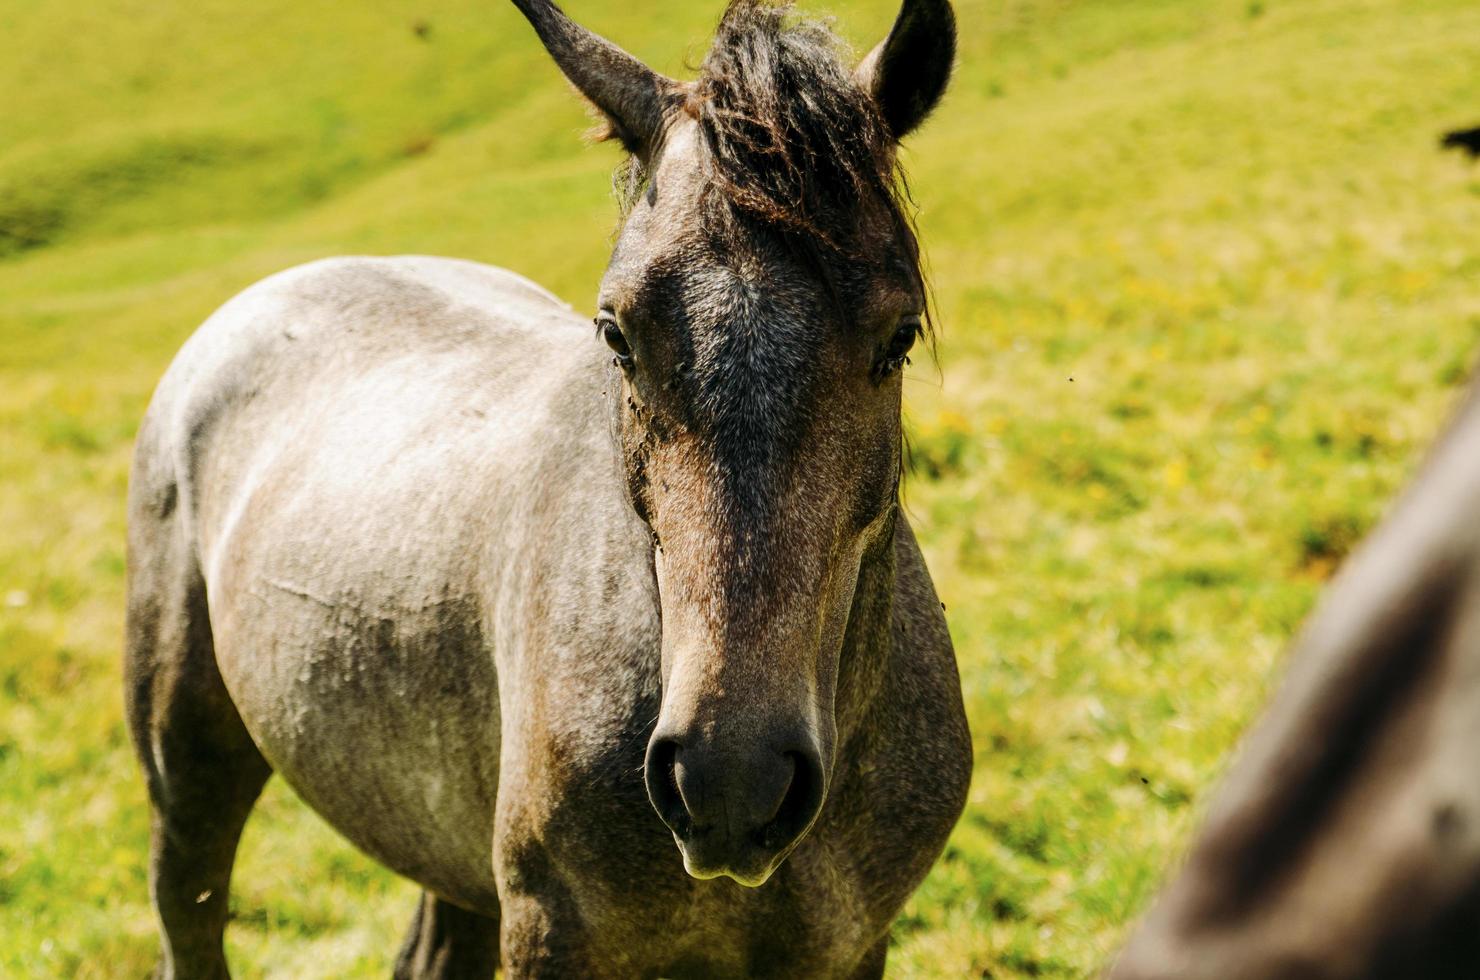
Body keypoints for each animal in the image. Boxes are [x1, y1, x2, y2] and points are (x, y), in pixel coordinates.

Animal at [124, 3, 970, 977]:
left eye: (900, 335)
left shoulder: (850, 947)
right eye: (615, 333)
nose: (732, 782)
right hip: (187, 772)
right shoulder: (549, 934)